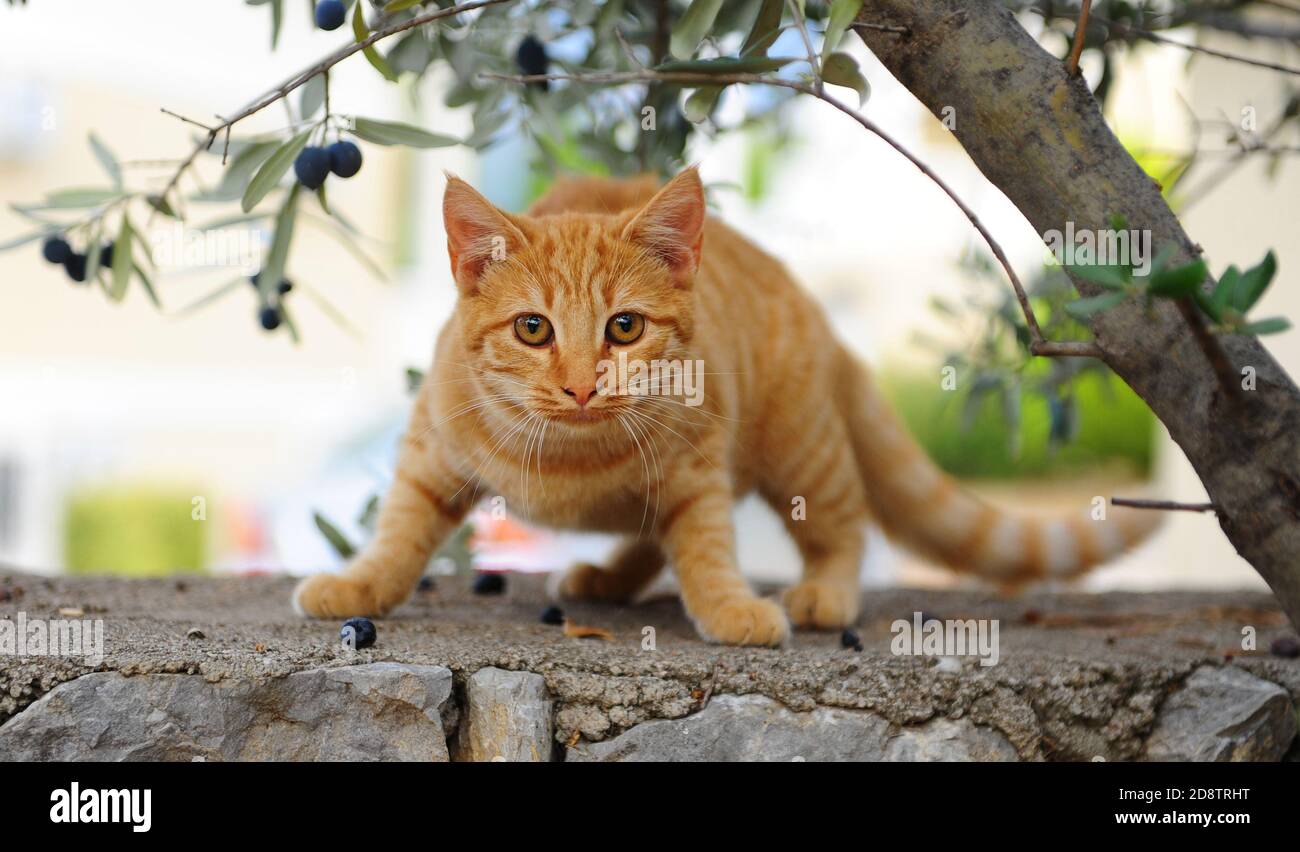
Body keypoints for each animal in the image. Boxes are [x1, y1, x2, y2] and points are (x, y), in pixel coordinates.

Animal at [297, 166, 1159, 647]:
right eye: (532, 329)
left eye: (624, 327)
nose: (581, 385)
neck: (572, 455)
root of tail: (814, 309)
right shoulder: (429, 446)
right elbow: (400, 528)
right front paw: (358, 585)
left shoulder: (698, 463)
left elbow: (706, 543)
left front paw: (727, 606)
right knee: (649, 539)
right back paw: (606, 577)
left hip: (802, 450)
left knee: (842, 525)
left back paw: (823, 591)